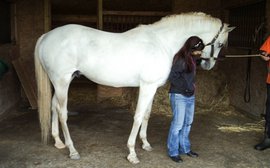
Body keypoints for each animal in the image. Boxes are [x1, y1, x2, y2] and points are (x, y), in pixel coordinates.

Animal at [34, 12, 234, 164]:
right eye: (221, 44)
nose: (208, 65)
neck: (162, 42)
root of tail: (46, 36)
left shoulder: (152, 88)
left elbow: (146, 115)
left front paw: (145, 144)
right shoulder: (146, 87)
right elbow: (137, 117)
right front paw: (132, 153)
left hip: (60, 82)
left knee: (53, 107)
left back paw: (58, 142)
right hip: (62, 82)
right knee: (62, 113)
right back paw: (72, 150)